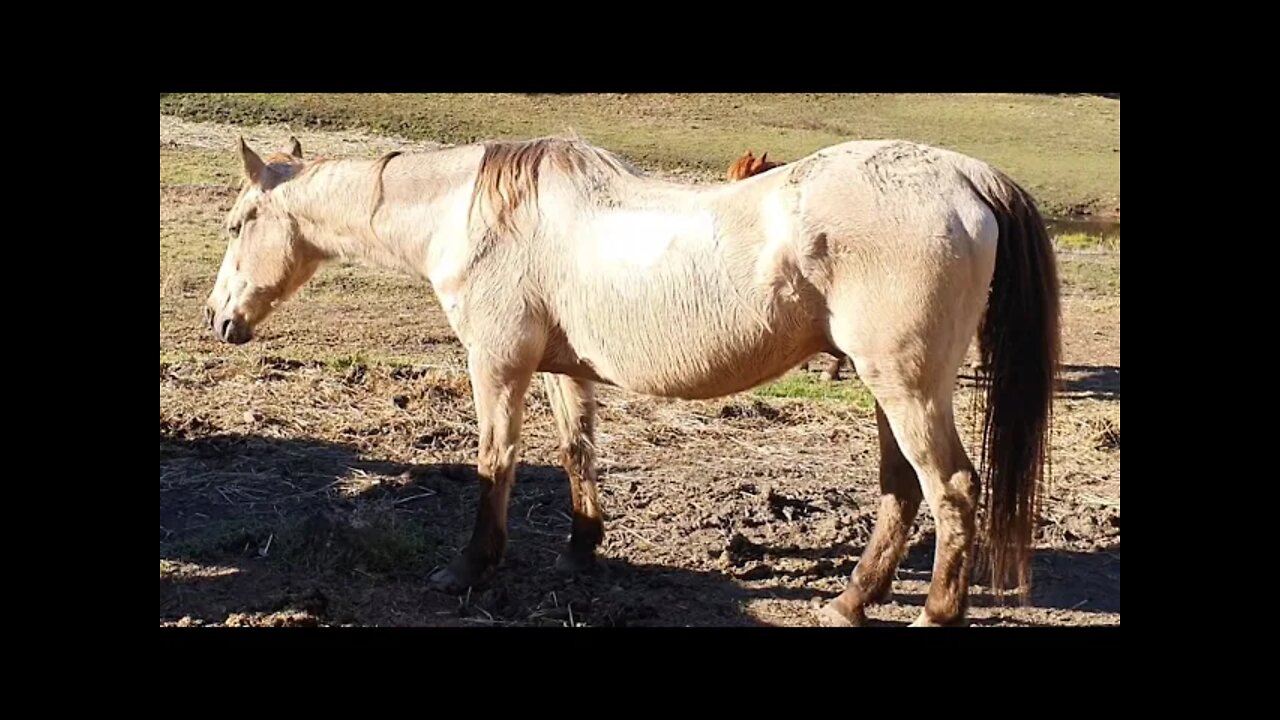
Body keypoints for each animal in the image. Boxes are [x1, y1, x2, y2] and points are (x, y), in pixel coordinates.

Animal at [202, 133, 1059, 622]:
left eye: (240, 222)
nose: (217, 319)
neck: (473, 214)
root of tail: (965, 176)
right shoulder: (558, 370)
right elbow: (577, 452)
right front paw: (583, 550)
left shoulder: (497, 365)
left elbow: (495, 463)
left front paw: (470, 568)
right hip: (891, 390)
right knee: (902, 489)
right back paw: (851, 601)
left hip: (906, 388)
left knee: (951, 489)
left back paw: (931, 614)